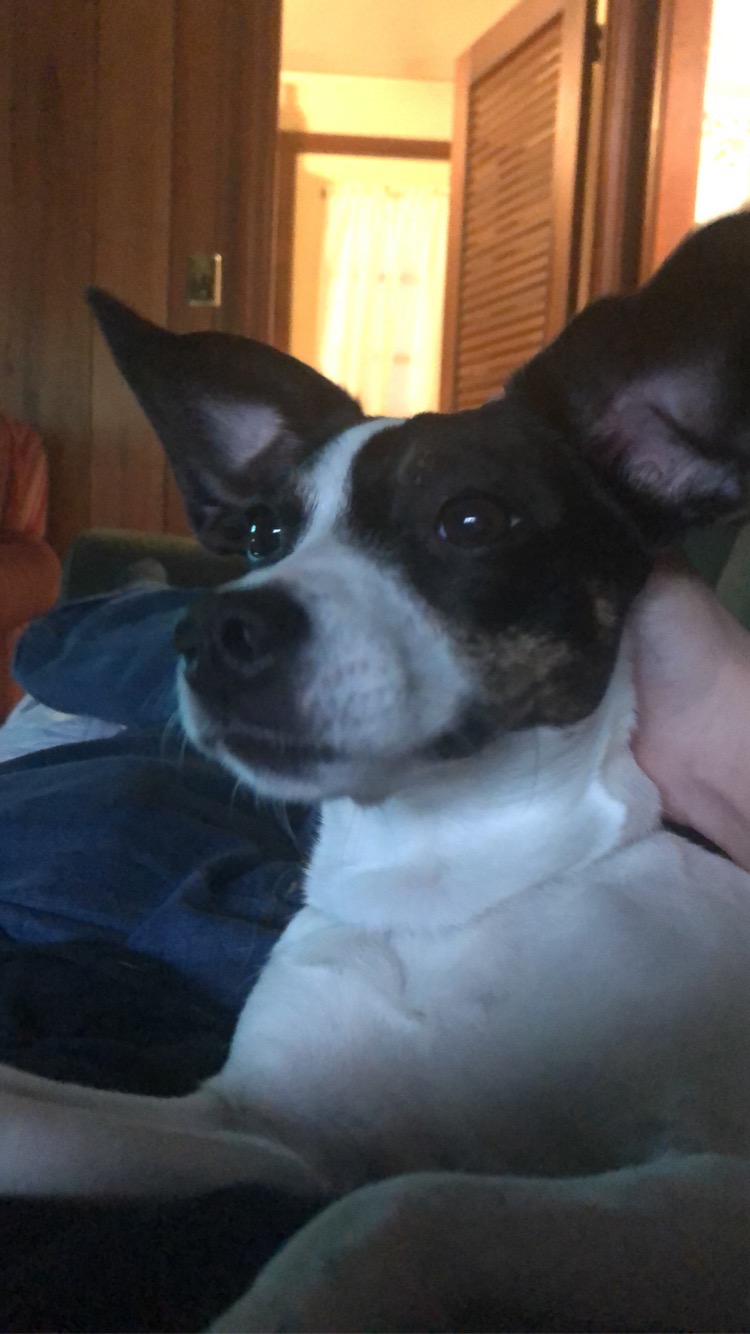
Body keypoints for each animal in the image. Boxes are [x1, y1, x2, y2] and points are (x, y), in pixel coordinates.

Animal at [2, 211, 750, 1332]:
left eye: (472, 520)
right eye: (263, 535)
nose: (213, 629)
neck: (442, 871)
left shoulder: (708, 1185)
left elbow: (403, 1206)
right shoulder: (261, 1130)